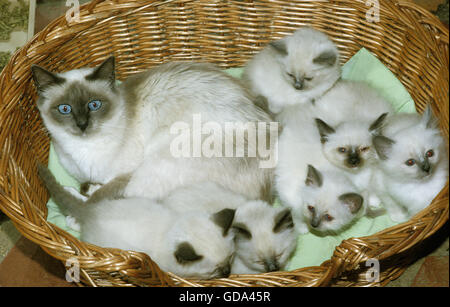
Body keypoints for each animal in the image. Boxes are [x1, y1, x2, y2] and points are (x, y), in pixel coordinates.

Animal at [32, 56, 274, 203]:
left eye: (94, 105)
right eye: (65, 109)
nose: (82, 125)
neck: (81, 149)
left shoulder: (125, 175)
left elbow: (102, 195)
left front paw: (83, 193)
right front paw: (86, 187)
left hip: (156, 161)